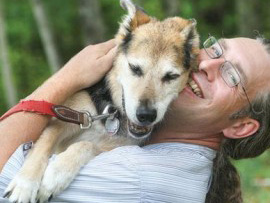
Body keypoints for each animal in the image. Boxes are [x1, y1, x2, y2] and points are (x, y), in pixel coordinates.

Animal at [3, 0, 198, 202]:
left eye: (171, 76)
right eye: (134, 68)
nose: (146, 115)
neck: (110, 114)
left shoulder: (117, 149)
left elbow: (87, 145)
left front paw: (56, 174)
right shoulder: (64, 116)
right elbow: (42, 145)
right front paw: (25, 184)